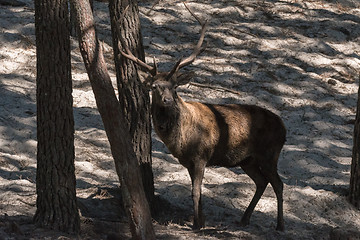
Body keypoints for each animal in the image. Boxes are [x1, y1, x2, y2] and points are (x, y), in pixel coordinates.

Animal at [118, 2, 286, 231]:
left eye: (174, 86)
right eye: (154, 86)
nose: (167, 100)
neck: (182, 138)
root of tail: (284, 129)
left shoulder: (201, 155)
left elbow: (195, 191)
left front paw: (197, 224)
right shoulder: (189, 161)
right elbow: (197, 192)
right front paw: (201, 220)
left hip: (270, 154)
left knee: (278, 183)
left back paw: (280, 225)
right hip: (247, 160)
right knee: (262, 182)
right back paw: (244, 219)